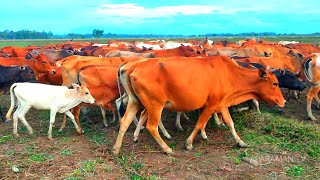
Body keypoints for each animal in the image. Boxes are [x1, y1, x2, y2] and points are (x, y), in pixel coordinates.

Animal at [112, 56, 284, 155]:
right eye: (275, 83)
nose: (283, 101)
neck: (230, 73)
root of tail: (134, 66)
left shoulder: (222, 103)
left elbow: (230, 123)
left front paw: (240, 141)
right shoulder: (211, 105)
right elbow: (200, 122)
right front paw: (189, 143)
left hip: (135, 101)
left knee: (125, 121)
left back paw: (117, 148)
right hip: (155, 105)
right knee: (151, 126)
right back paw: (167, 148)